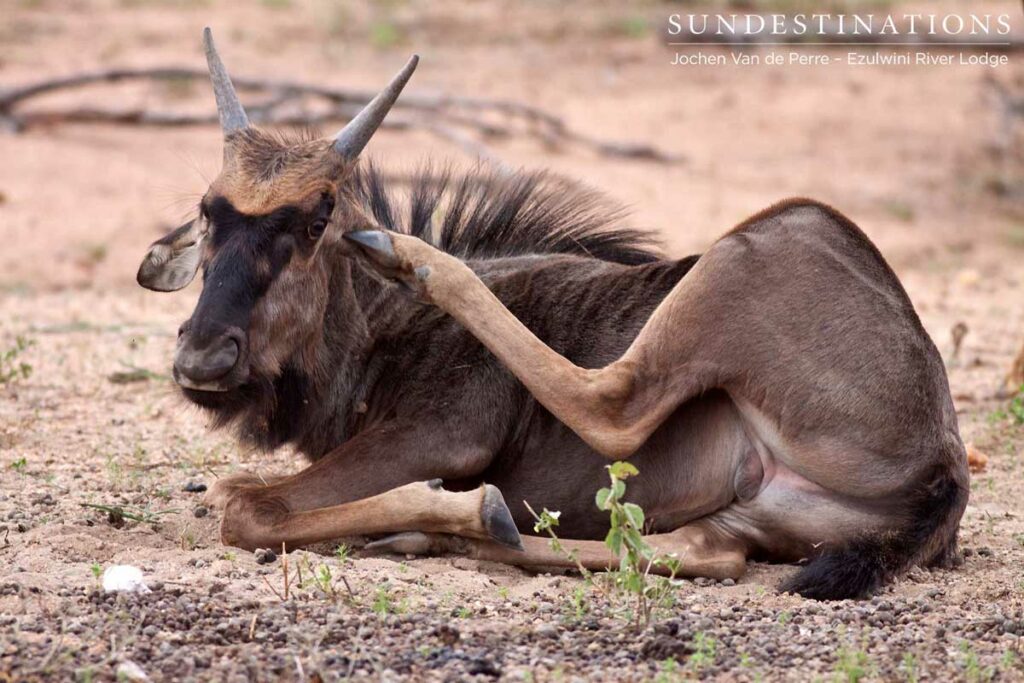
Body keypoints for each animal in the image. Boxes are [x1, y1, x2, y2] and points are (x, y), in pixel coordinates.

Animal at [137, 29, 969, 600]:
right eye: (208, 214)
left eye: (316, 219)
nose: (204, 357)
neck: (381, 330)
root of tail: (946, 467)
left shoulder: (439, 435)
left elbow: (245, 505)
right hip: (747, 510)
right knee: (708, 552)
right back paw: (452, 535)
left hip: (767, 238)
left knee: (611, 402)